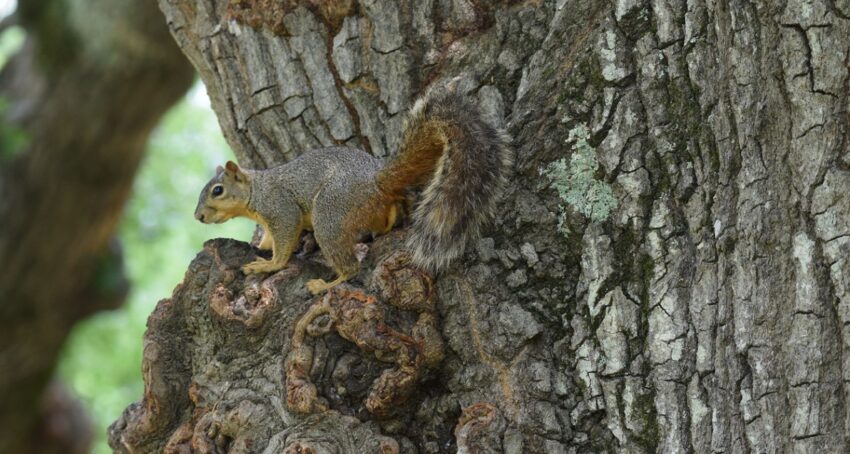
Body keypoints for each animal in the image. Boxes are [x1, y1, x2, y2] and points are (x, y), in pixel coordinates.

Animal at [194, 92, 512, 294]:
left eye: (217, 191)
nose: (198, 217)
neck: (255, 191)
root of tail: (376, 181)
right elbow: (271, 238)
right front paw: (262, 247)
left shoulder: (280, 207)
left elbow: (284, 239)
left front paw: (268, 265)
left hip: (330, 212)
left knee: (350, 268)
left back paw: (327, 284)